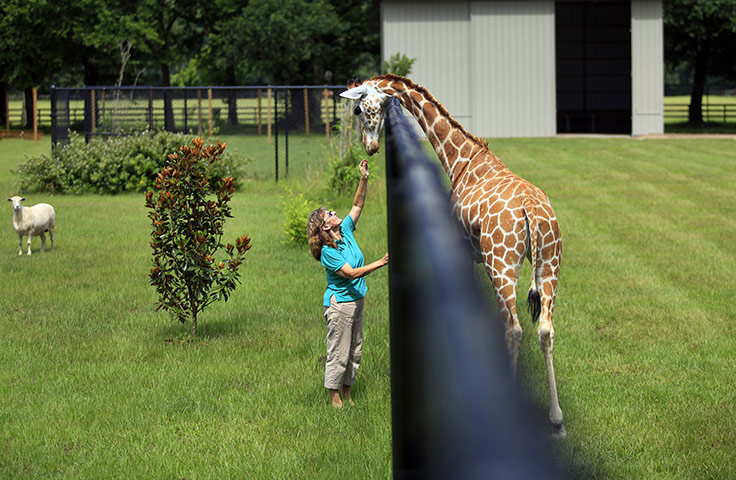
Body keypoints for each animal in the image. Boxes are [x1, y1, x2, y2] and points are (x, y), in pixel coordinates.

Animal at [340, 74, 565, 438]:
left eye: (359, 109)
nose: (370, 148)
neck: (461, 159)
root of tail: (531, 210)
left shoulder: (465, 251)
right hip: (549, 263)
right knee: (545, 329)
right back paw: (556, 421)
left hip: (502, 263)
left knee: (514, 329)